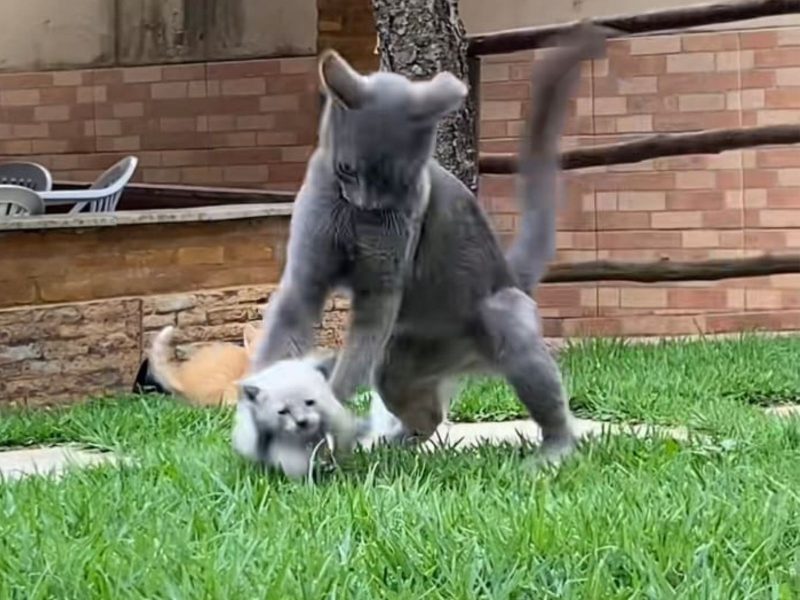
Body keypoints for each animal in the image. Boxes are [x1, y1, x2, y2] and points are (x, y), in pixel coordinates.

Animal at [253, 23, 608, 464]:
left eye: (399, 179)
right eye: (346, 169)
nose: (367, 204)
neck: (354, 220)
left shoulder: (381, 287)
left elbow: (354, 354)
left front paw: (326, 404)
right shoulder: (307, 273)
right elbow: (284, 330)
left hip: (504, 318)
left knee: (552, 406)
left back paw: (551, 455)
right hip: (397, 362)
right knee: (427, 412)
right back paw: (388, 444)